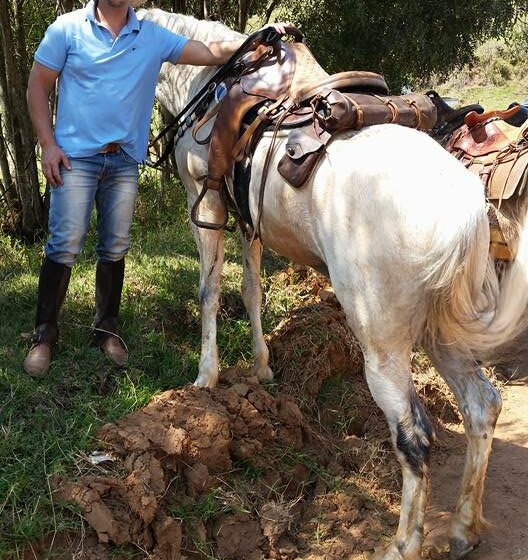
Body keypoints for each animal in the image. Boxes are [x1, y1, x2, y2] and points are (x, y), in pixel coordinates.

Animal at [142, 8, 528, 560]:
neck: (210, 83)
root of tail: (466, 211)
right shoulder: (249, 221)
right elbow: (252, 291)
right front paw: (261, 368)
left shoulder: (208, 203)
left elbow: (210, 294)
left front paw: (206, 377)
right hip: (440, 331)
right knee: (481, 406)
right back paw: (462, 527)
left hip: (383, 346)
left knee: (415, 437)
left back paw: (404, 543)